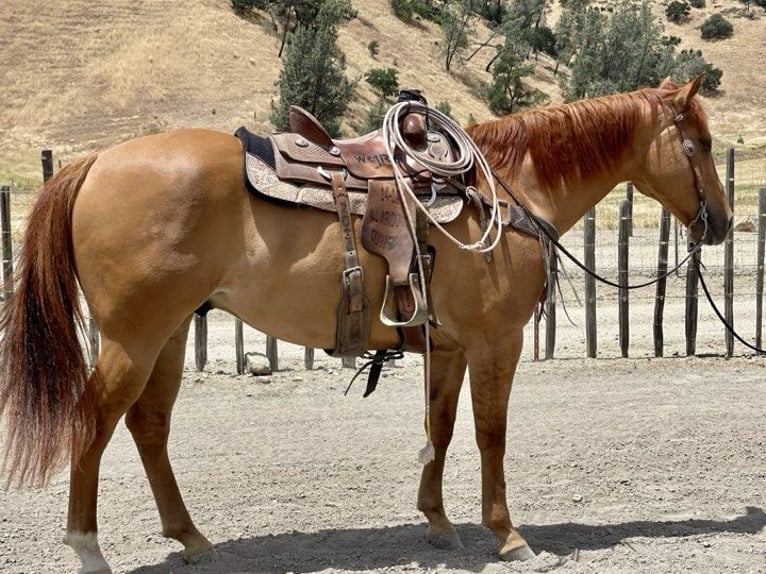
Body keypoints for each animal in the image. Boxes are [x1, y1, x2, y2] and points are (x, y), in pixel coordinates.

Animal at [0, 76, 732, 574]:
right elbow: (490, 436)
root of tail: (96, 162)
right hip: (135, 336)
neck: (506, 189)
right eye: (698, 143)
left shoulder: (450, 346)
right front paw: (508, 534)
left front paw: (438, 522)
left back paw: (192, 538)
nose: (721, 224)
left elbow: (440, 428)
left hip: (173, 332)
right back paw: (88, 547)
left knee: (148, 426)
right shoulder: (497, 342)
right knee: (94, 422)